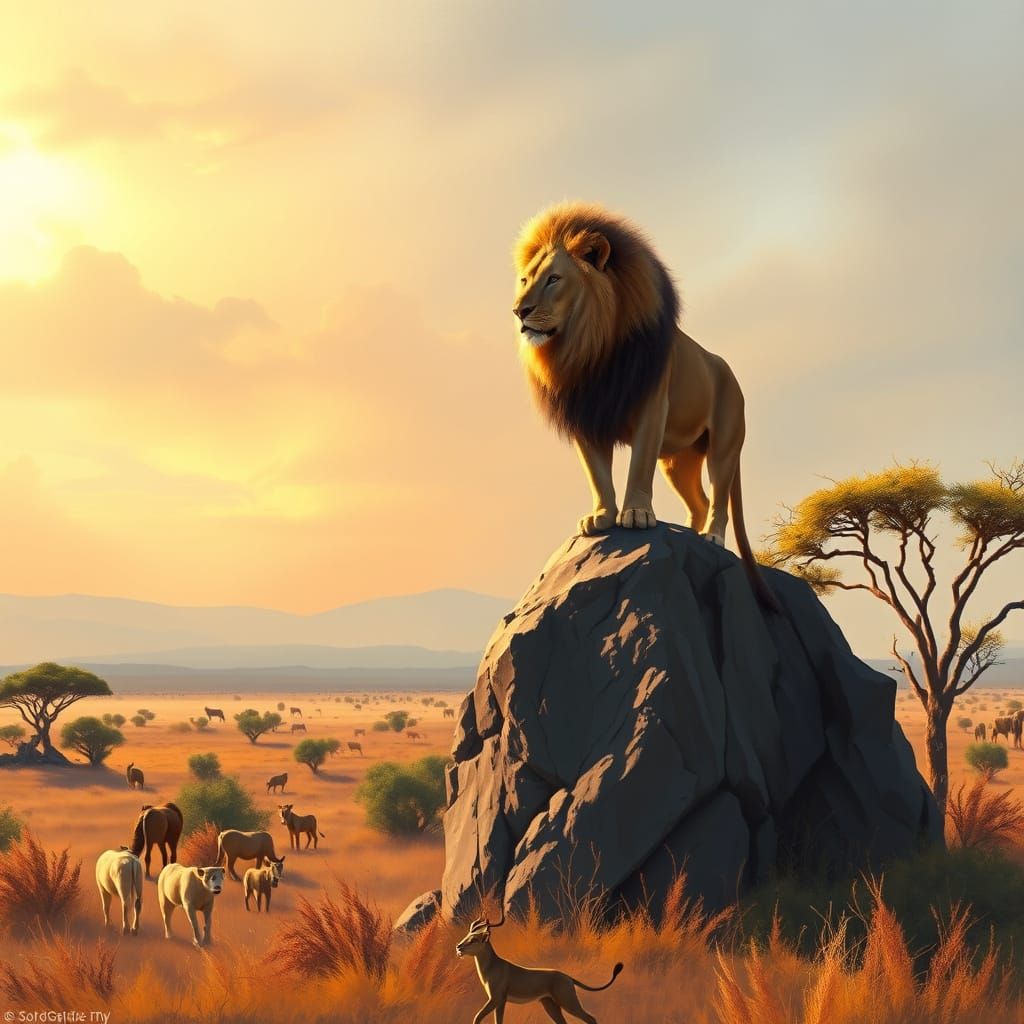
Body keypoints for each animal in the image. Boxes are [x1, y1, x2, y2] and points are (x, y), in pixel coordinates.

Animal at [513, 201, 777, 609]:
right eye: (525, 280)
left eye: (554, 279)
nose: (519, 311)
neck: (586, 350)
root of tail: (729, 371)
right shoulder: (587, 416)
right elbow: (597, 473)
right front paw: (602, 516)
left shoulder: (651, 409)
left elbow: (637, 467)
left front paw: (636, 514)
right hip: (679, 462)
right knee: (698, 501)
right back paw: (690, 534)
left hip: (724, 446)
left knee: (717, 498)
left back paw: (712, 537)